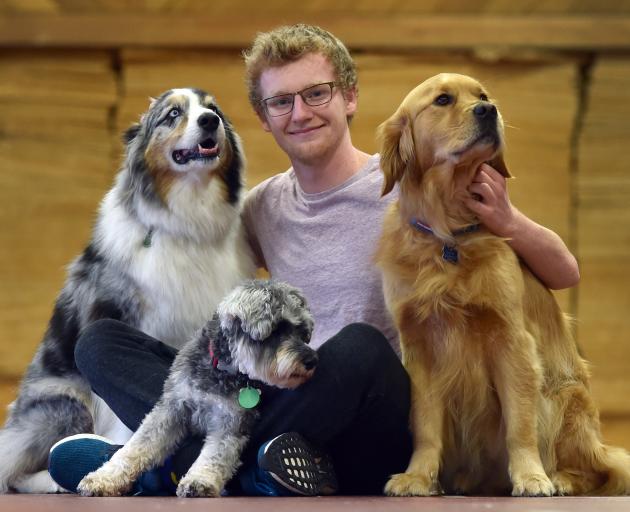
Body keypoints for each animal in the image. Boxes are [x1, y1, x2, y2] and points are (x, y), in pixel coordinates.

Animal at [76, 278, 318, 498]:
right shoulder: (171, 409)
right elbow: (137, 446)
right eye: (277, 330)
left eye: (302, 333)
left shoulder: (231, 421)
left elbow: (216, 454)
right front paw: (104, 478)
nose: (312, 360)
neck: (221, 367)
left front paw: (199, 481)